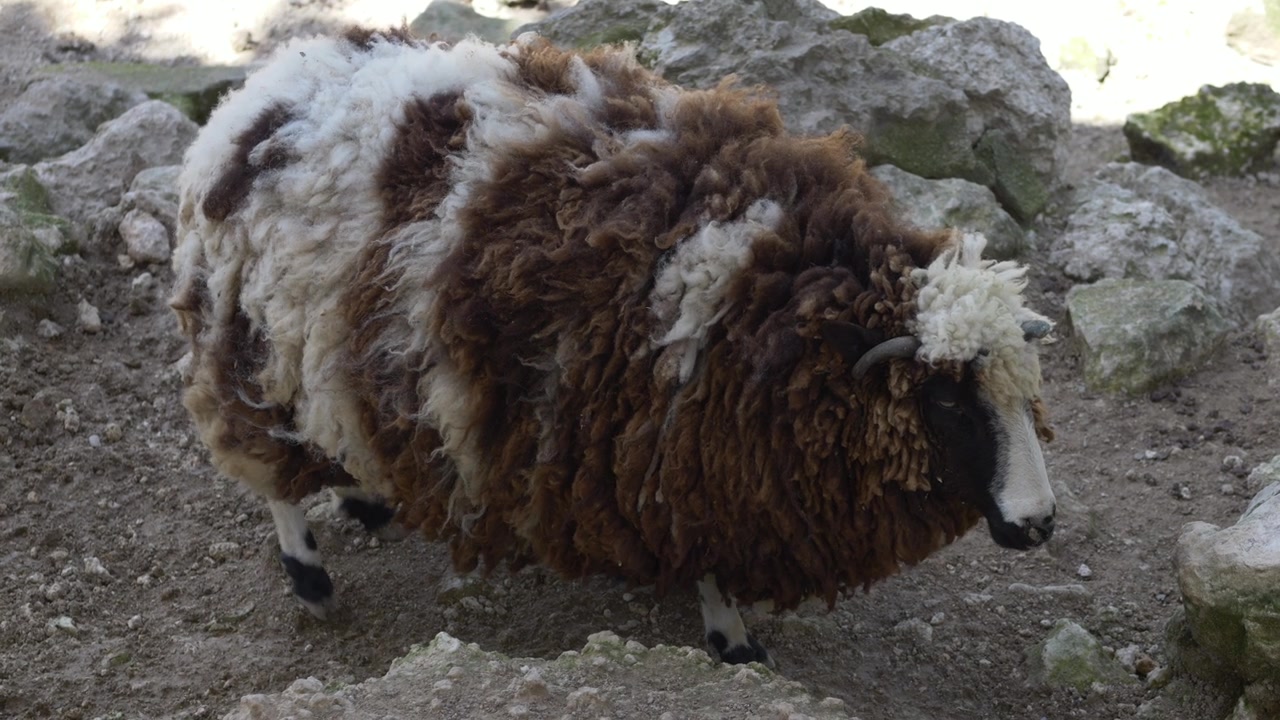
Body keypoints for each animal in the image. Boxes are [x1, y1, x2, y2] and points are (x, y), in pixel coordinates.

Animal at [169, 28, 1058, 668]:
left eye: (1027, 399)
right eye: (947, 399)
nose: (1039, 523)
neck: (779, 289)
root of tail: (252, 97)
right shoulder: (682, 449)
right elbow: (707, 557)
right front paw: (732, 640)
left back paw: (365, 496)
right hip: (248, 342)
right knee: (267, 468)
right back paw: (310, 577)